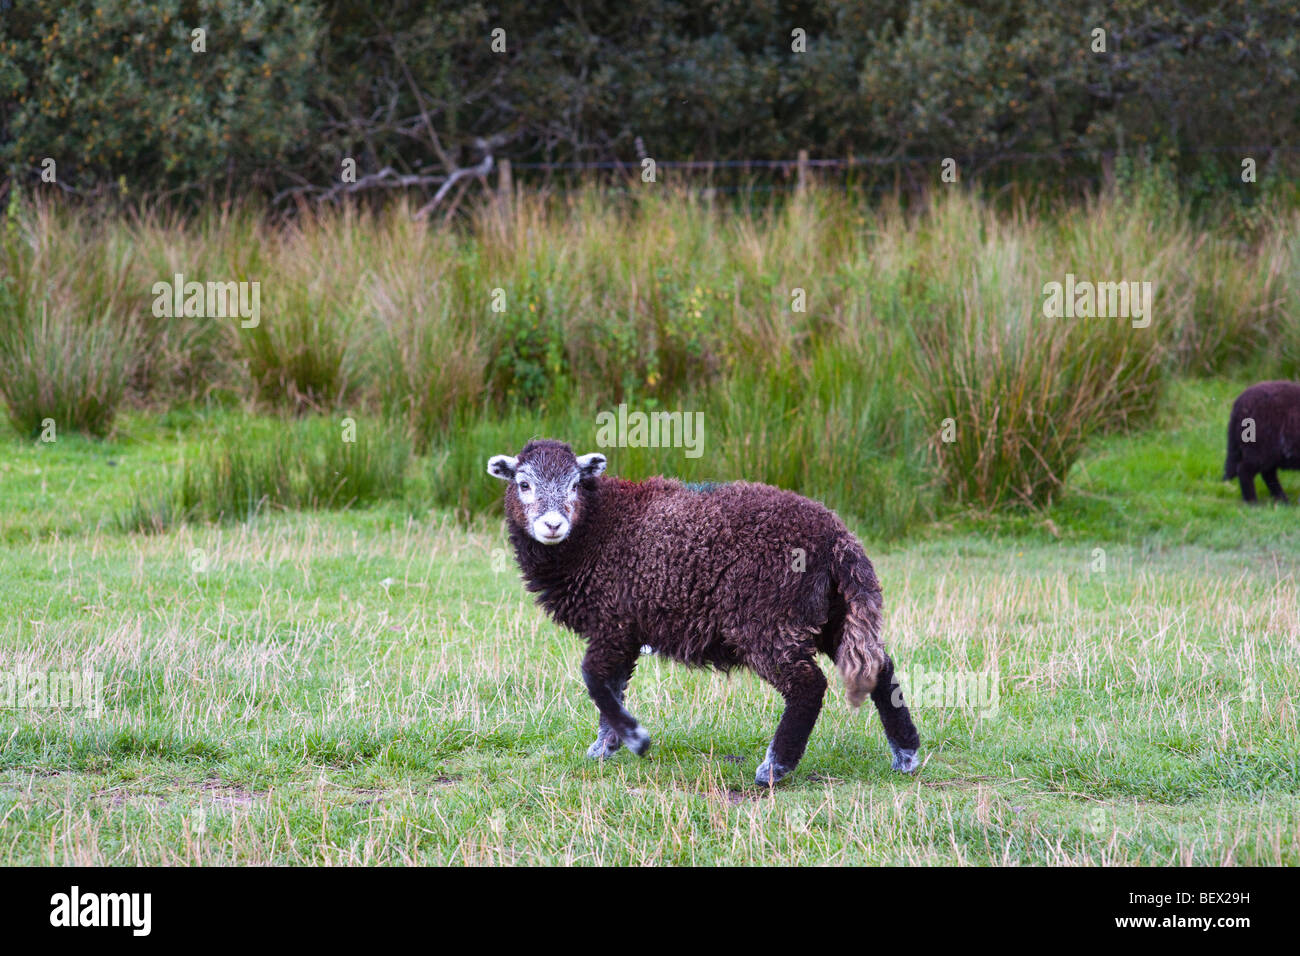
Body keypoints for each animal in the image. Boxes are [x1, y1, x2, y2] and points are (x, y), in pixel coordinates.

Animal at [488, 439, 925, 785]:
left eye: (576, 484)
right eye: (523, 484)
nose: (552, 525)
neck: (596, 528)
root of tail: (839, 540)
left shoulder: (614, 622)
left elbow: (594, 680)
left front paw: (635, 739)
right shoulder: (624, 628)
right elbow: (611, 685)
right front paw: (606, 746)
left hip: (769, 620)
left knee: (807, 686)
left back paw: (776, 767)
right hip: (831, 614)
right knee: (880, 667)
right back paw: (906, 754)